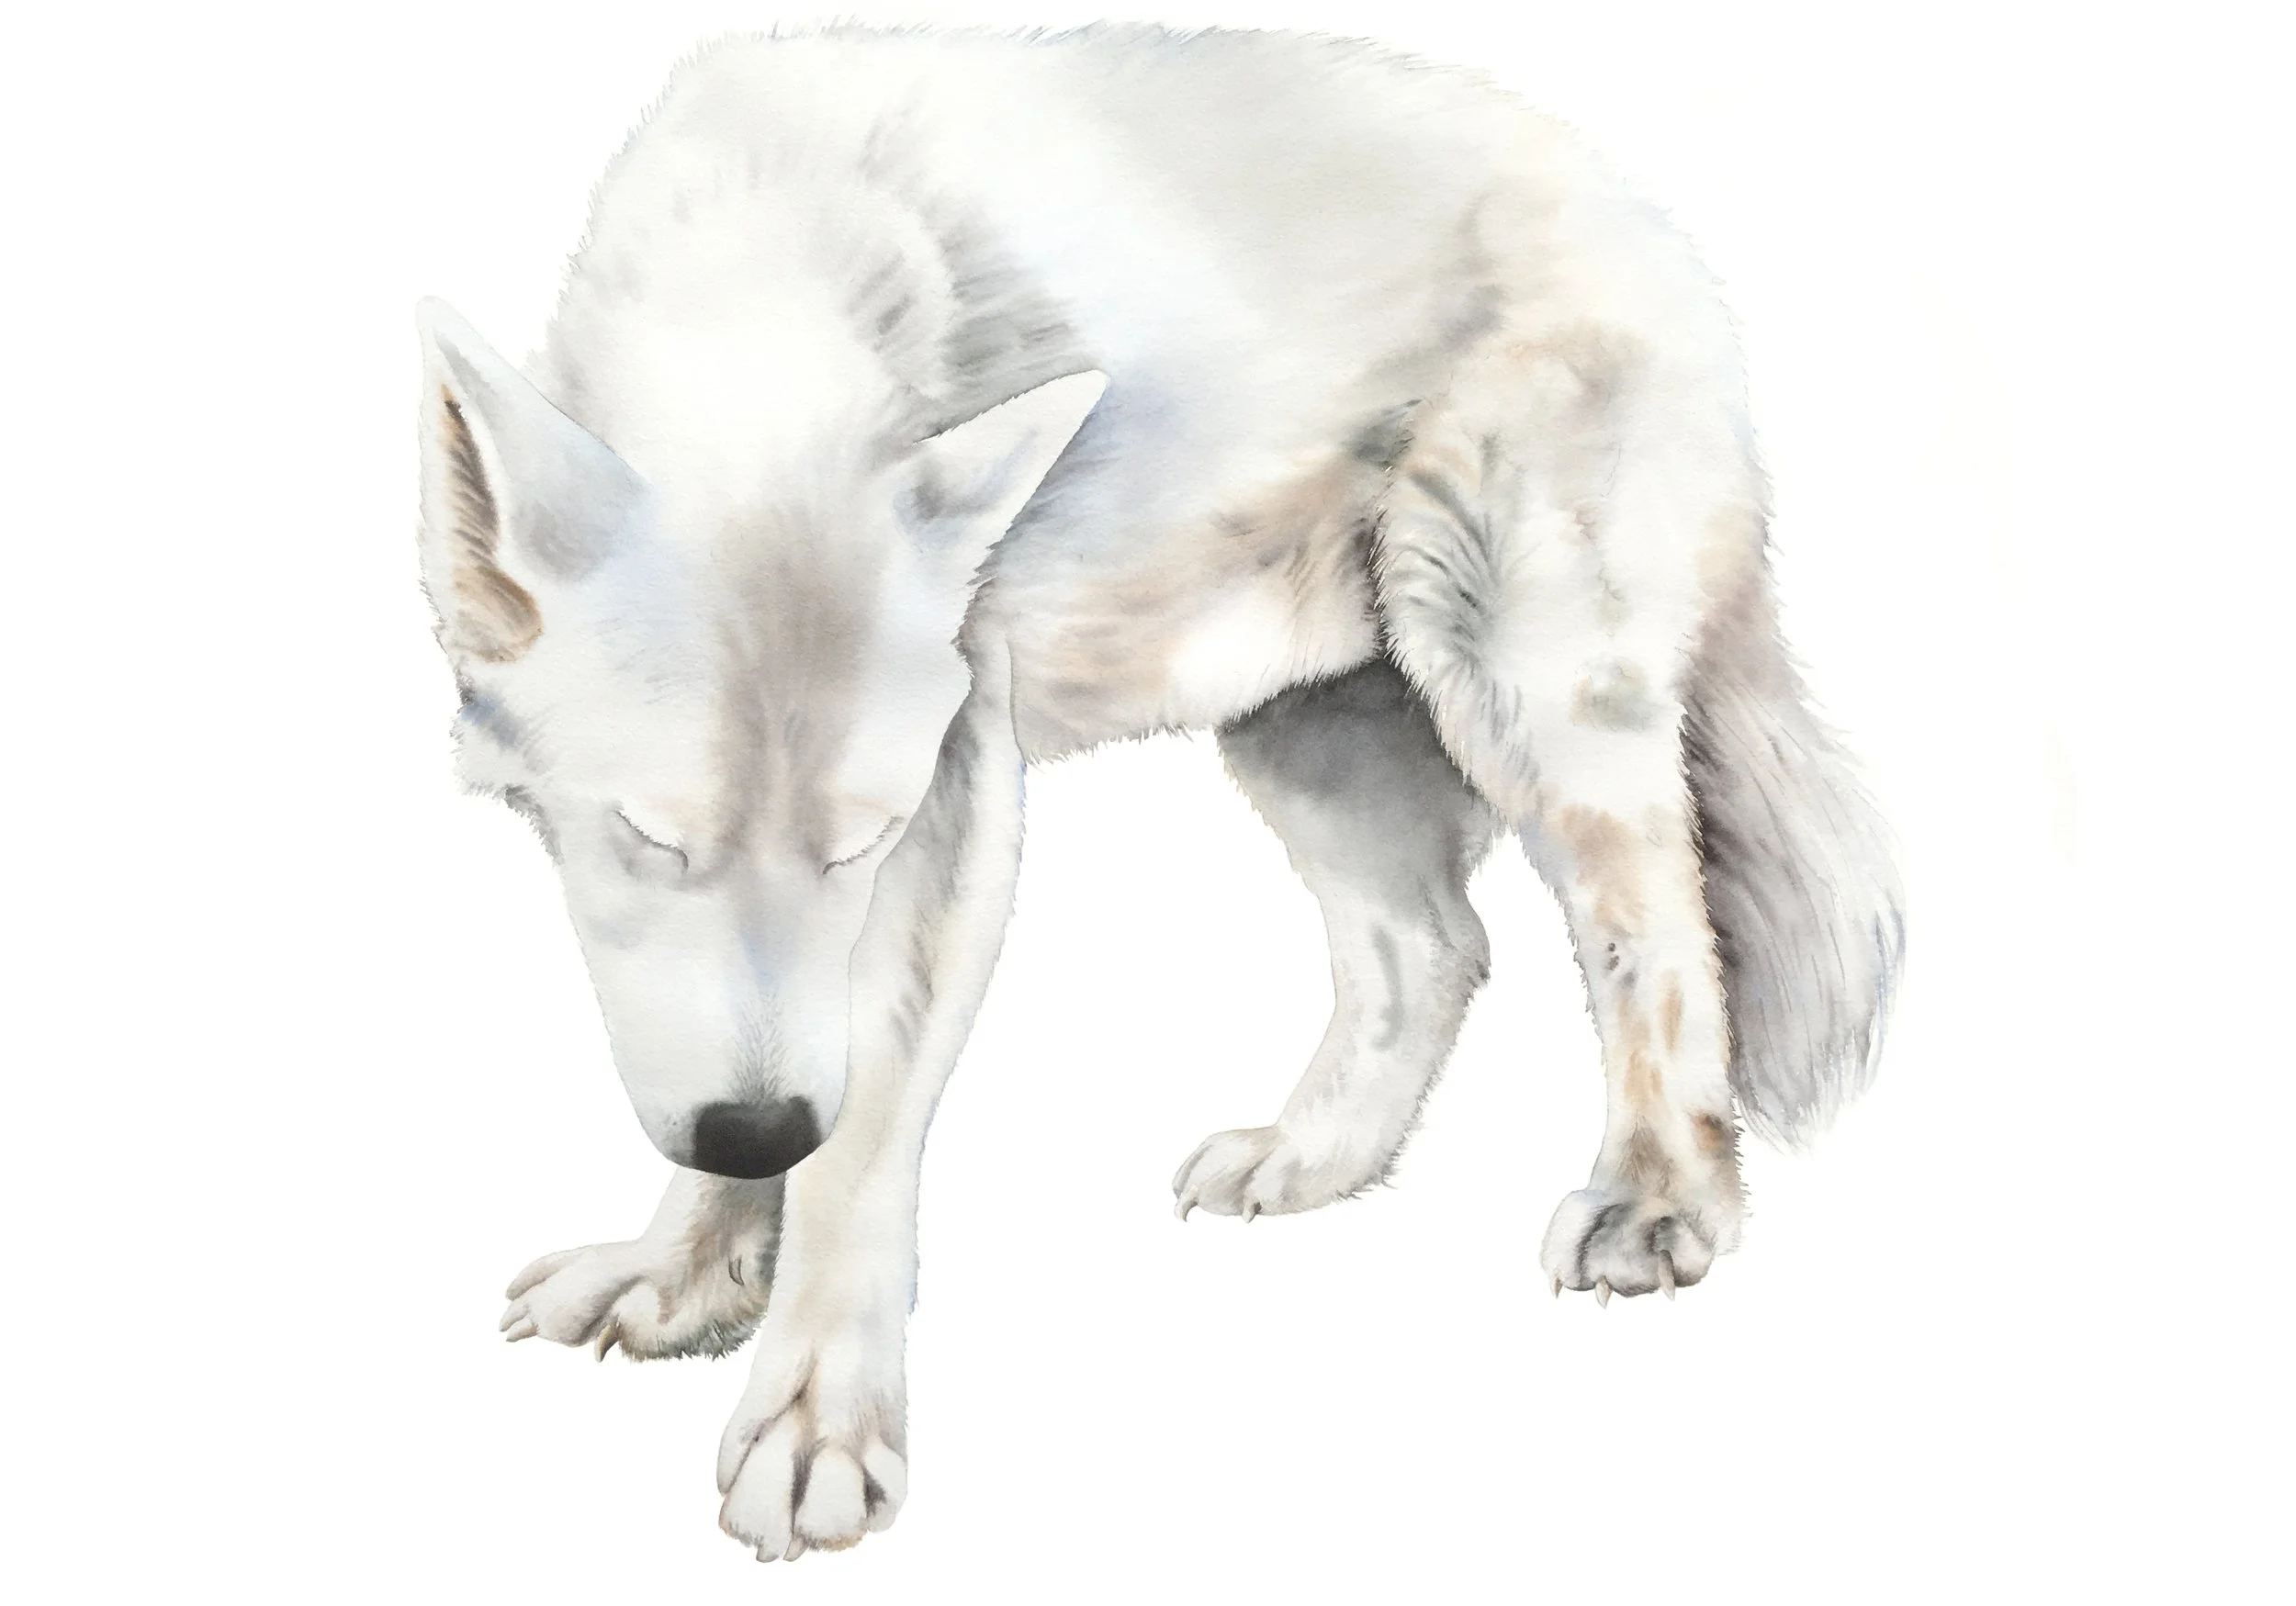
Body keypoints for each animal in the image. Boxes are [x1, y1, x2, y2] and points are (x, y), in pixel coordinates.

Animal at [416, 24, 1903, 1559]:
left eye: (861, 842)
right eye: (649, 835)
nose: (760, 1125)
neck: (773, 293)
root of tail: (1644, 218)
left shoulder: (949, 811)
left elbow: (858, 1140)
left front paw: (815, 1425)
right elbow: (744, 1093)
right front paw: (686, 1280)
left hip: (1517, 690)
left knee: (1662, 937)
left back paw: (1660, 1200)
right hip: (1303, 733)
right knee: (1437, 947)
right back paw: (1316, 1158)